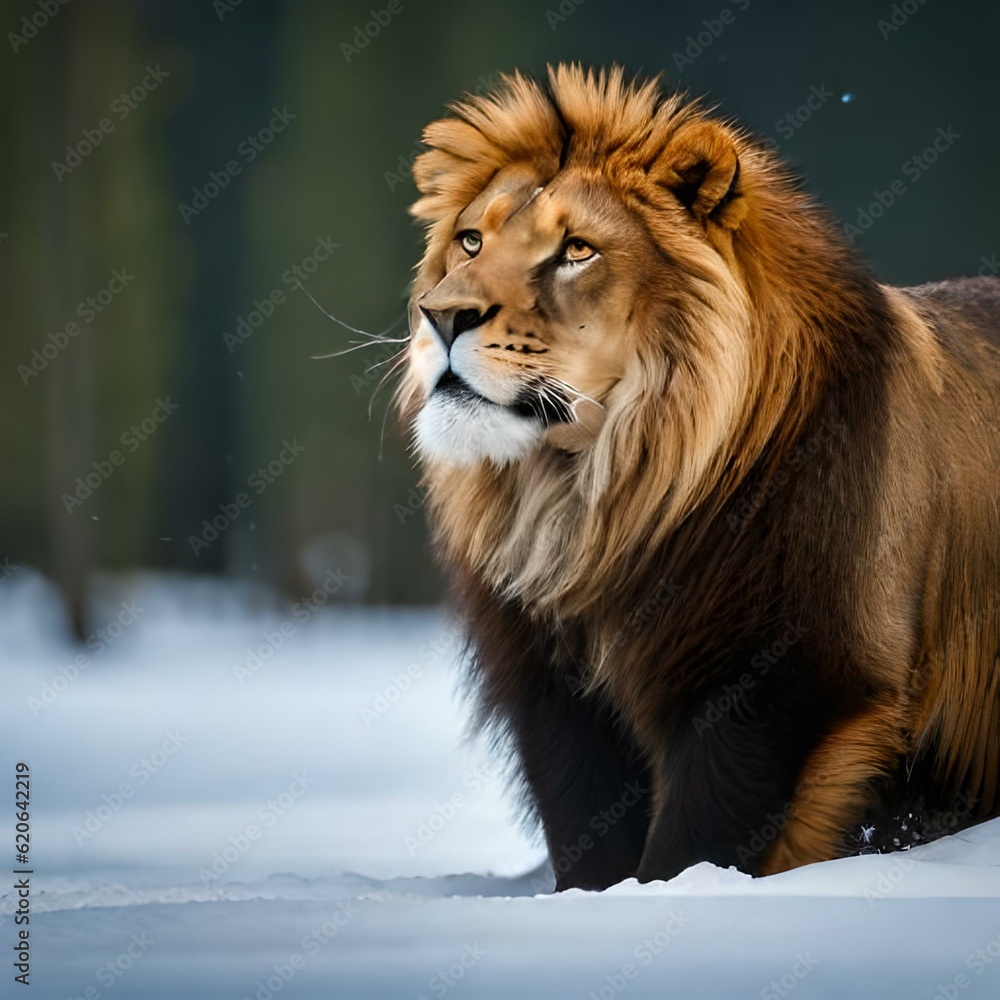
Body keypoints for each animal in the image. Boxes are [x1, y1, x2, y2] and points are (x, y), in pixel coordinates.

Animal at [396, 66, 1000, 888]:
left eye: (576, 250)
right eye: (470, 240)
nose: (442, 316)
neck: (592, 500)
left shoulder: (791, 679)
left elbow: (698, 840)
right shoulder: (556, 700)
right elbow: (591, 836)